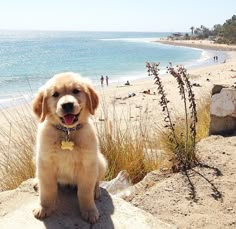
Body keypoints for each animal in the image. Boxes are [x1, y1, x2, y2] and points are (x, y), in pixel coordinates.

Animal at [32, 73, 107, 224]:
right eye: (55, 94)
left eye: (76, 91)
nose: (67, 105)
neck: (67, 131)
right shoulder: (45, 162)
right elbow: (47, 190)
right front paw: (44, 207)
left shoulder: (88, 165)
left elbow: (85, 192)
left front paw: (89, 211)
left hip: (100, 161)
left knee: (96, 180)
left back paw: (96, 191)